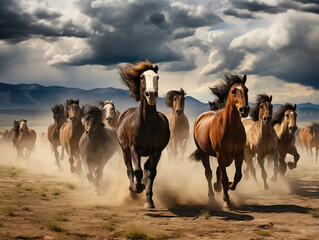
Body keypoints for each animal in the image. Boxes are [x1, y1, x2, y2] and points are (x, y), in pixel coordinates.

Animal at [117, 60, 171, 208]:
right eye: (142, 77)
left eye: (157, 77)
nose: (151, 94)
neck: (147, 123)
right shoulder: (134, 148)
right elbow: (137, 171)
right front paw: (137, 187)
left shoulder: (157, 151)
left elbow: (151, 172)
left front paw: (149, 200)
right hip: (125, 150)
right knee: (130, 170)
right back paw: (132, 191)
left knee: (146, 168)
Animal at [190, 73, 250, 210]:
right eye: (233, 91)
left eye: (246, 90)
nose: (244, 110)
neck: (231, 127)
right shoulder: (221, 154)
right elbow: (224, 178)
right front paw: (226, 201)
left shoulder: (239, 154)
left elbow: (238, 176)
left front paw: (229, 187)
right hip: (204, 153)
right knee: (209, 173)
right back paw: (212, 197)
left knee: (218, 171)